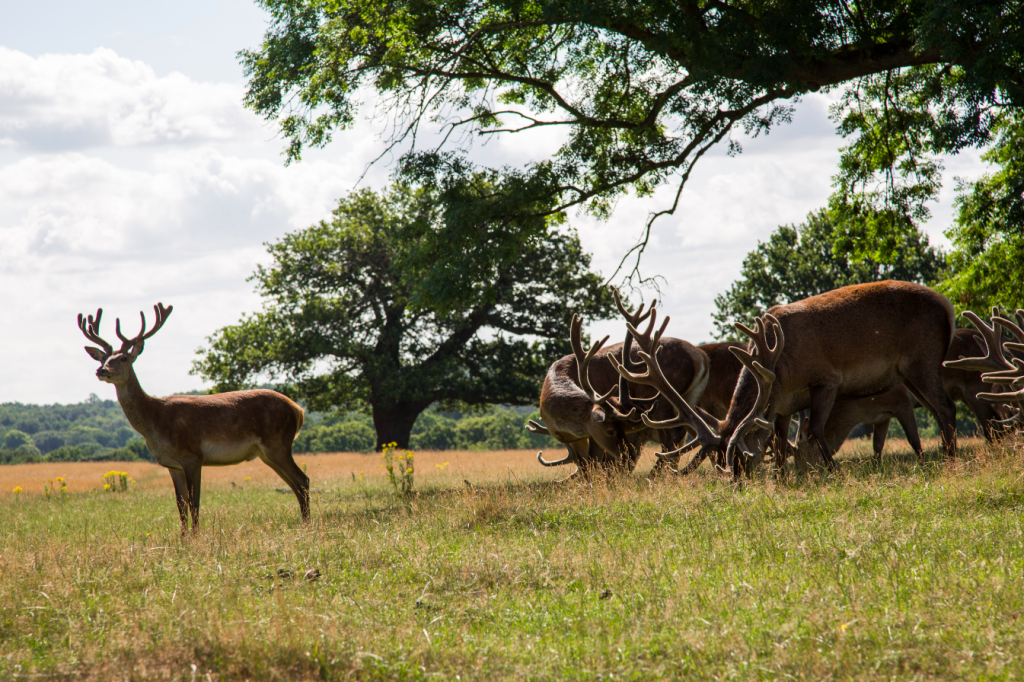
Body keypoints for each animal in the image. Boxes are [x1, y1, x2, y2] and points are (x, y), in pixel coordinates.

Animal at [77, 303, 307, 532]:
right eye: (104, 358)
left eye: (123, 358)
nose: (101, 370)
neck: (155, 422)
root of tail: (298, 410)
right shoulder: (172, 465)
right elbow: (181, 504)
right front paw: (184, 537)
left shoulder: (193, 457)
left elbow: (194, 502)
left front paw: (197, 536)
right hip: (266, 453)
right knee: (295, 484)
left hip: (277, 443)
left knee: (302, 480)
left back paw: (307, 524)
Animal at [614, 278, 958, 475]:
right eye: (720, 459)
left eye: (741, 455)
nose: (736, 484)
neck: (780, 370)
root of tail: (947, 305)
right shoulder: (782, 406)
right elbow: (780, 444)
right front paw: (782, 479)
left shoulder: (826, 379)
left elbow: (815, 430)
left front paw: (833, 471)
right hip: (909, 373)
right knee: (937, 410)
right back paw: (944, 457)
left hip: (922, 358)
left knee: (946, 407)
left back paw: (952, 461)